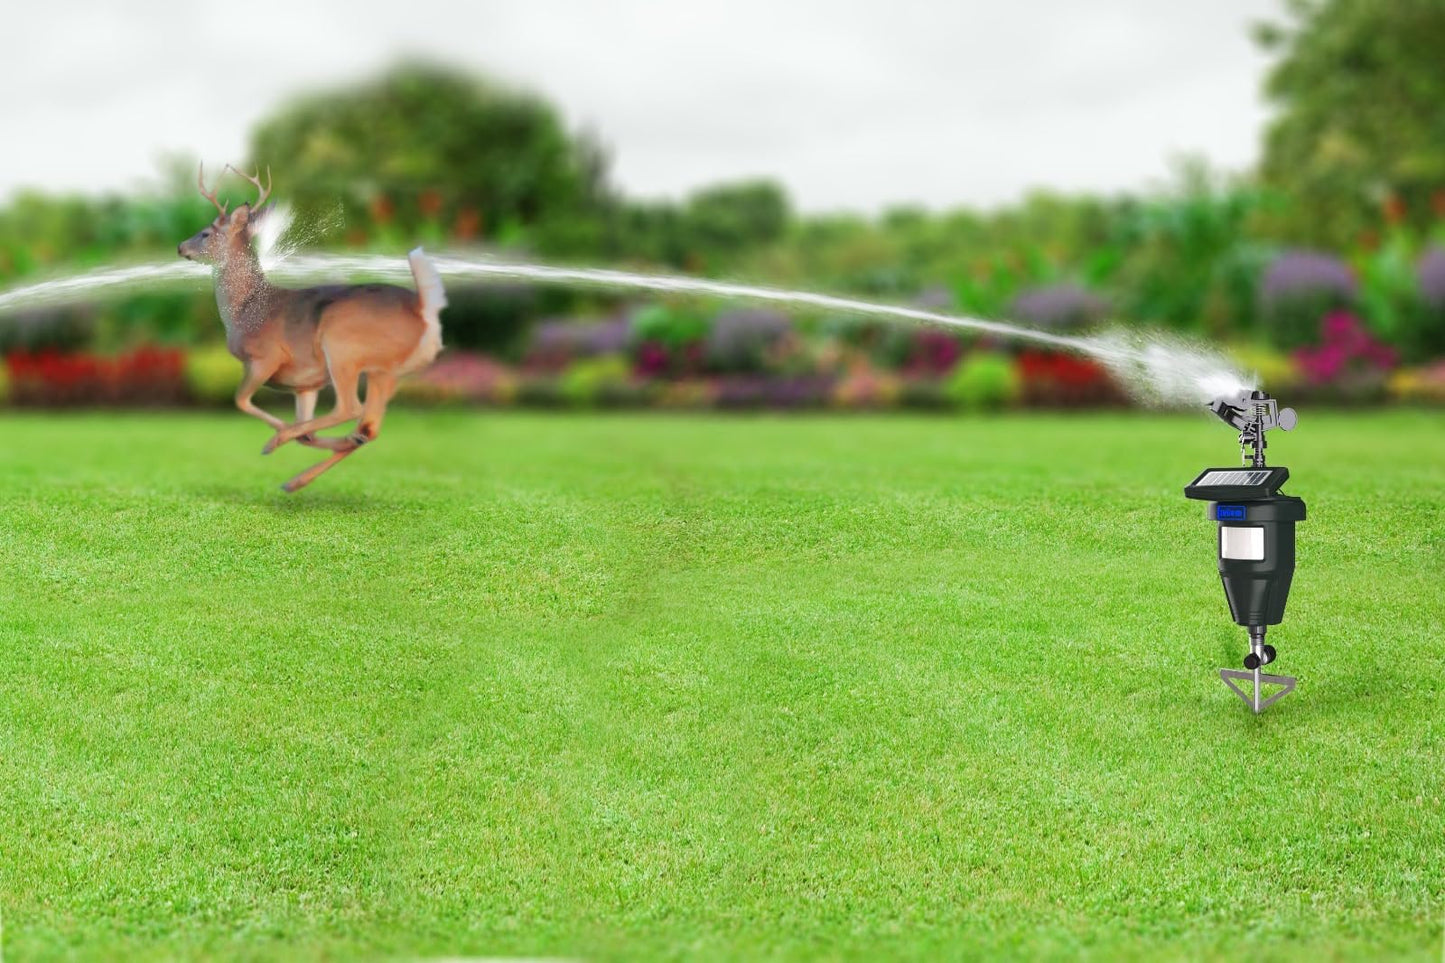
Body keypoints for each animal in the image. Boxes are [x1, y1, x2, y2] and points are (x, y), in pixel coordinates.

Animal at [178, 164, 447, 492]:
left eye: (205, 233)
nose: (180, 247)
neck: (245, 310)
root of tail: (424, 310)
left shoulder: (265, 357)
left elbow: (241, 401)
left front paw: (276, 437)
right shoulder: (306, 384)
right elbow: (306, 432)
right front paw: (300, 438)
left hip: (342, 345)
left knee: (350, 408)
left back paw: (282, 444)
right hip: (386, 371)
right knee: (368, 426)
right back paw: (301, 476)